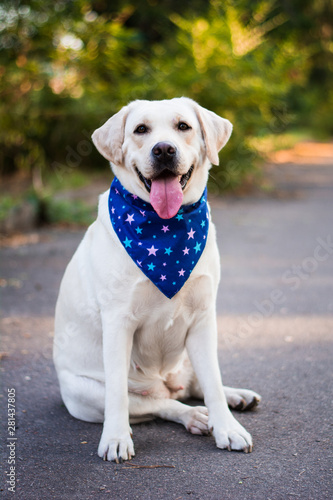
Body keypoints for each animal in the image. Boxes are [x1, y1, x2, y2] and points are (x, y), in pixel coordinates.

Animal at [53, 98, 260, 464]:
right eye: (140, 130)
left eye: (183, 126)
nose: (164, 149)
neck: (164, 228)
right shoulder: (118, 322)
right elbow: (119, 396)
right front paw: (116, 438)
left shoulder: (204, 318)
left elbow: (212, 383)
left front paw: (228, 428)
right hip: (84, 392)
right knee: (160, 403)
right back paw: (193, 416)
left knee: (198, 385)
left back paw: (234, 397)